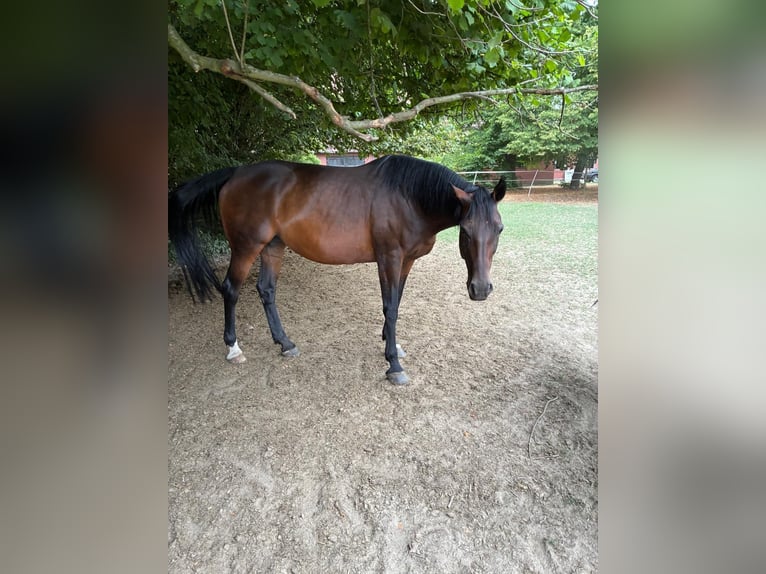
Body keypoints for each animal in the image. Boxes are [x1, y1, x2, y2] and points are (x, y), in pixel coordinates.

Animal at [169, 154, 506, 385]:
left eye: (499, 229)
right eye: (466, 231)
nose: (480, 289)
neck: (407, 196)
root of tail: (236, 173)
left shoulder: (406, 261)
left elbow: (396, 303)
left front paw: (392, 345)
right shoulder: (389, 258)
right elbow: (390, 307)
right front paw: (394, 365)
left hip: (273, 247)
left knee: (266, 290)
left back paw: (285, 343)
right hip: (245, 247)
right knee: (231, 290)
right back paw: (233, 348)